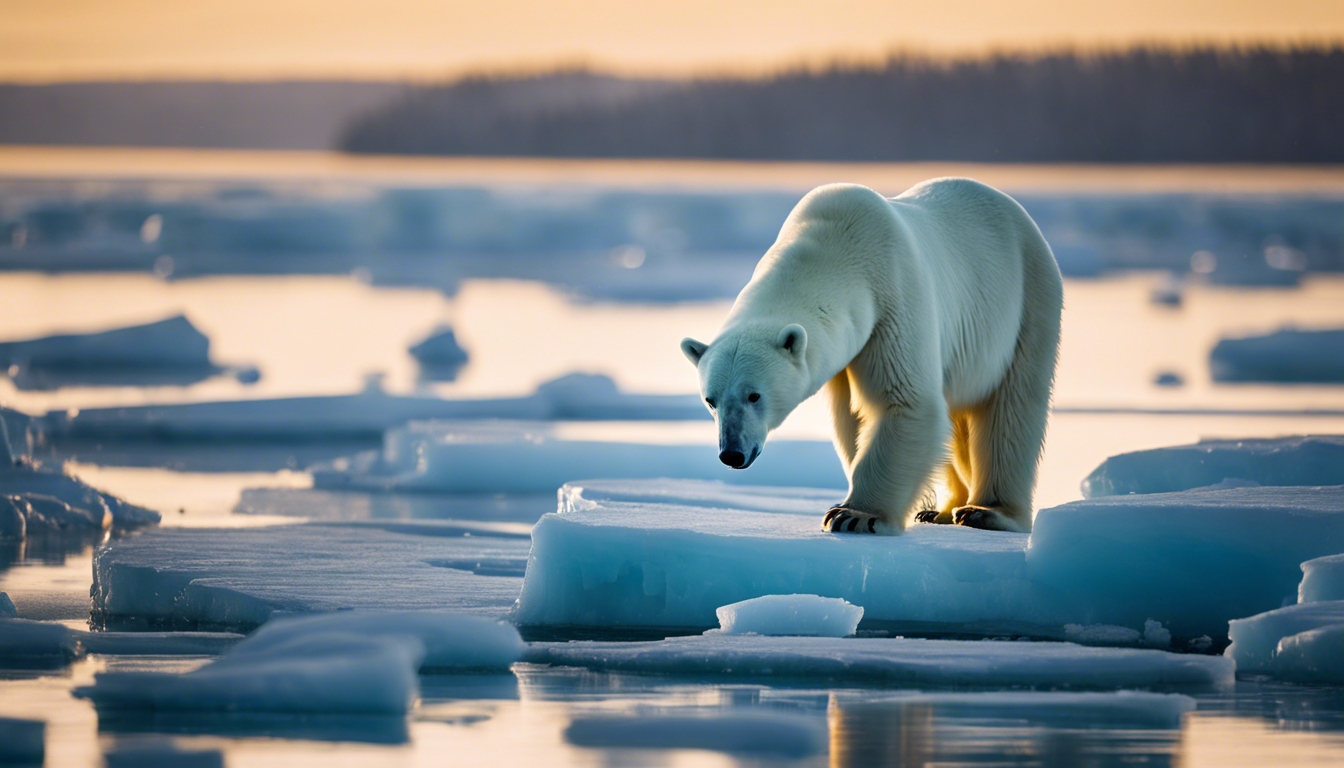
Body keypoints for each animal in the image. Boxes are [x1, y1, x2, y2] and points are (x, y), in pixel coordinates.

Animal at [682, 180, 1059, 535]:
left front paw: (855, 516)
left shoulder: (893, 298)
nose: (732, 453)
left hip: (1027, 301)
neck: (835, 247)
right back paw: (939, 510)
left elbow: (905, 400)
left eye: (754, 395)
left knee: (1012, 409)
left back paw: (988, 512)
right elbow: (852, 418)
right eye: (711, 400)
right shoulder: (847, 354)